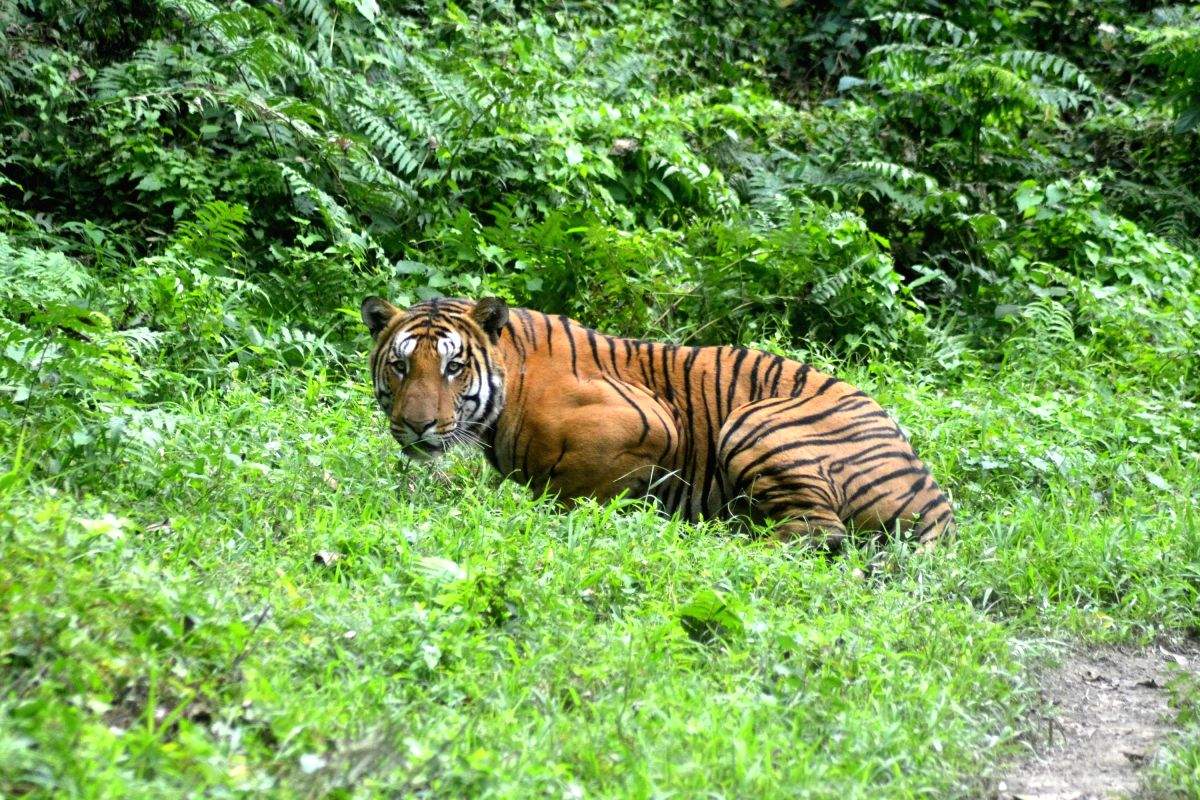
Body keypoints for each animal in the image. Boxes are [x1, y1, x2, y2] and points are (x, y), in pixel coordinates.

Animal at [361, 295, 955, 549]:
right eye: (401, 365)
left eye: (453, 367)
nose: (416, 426)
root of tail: (936, 500)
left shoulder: (650, 421)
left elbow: (575, 488)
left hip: (754, 421)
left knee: (817, 533)